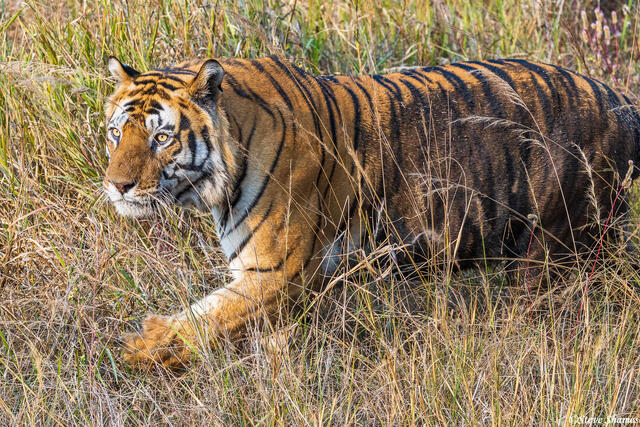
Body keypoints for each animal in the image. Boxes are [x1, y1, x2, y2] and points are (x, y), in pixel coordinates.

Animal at [103, 55, 640, 368]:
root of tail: (620, 97)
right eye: (115, 132)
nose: (117, 186)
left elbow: (202, 320)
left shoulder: (276, 272)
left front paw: (136, 349)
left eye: (161, 137)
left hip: (554, 246)